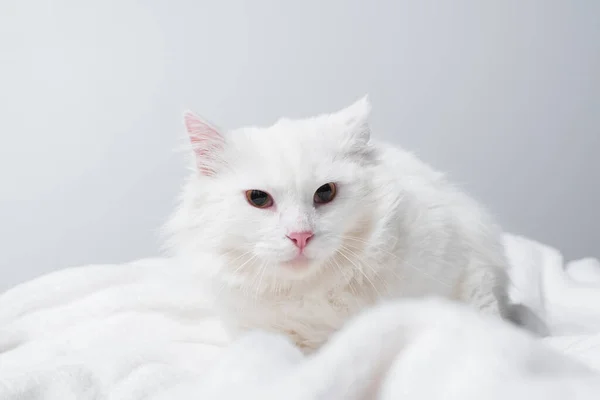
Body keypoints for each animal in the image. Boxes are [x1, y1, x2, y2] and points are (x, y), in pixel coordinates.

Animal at [166, 98, 508, 352]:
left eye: (326, 192)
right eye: (258, 198)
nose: (300, 236)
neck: (311, 294)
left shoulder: (470, 268)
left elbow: (482, 319)